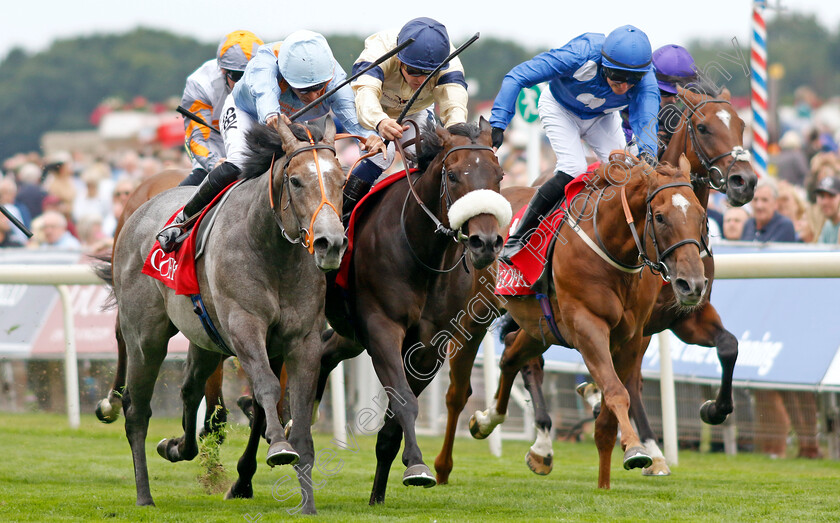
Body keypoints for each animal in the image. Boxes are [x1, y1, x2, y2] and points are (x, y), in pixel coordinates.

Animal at [97, 118, 344, 516]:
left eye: (343, 179)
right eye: (295, 181)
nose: (330, 243)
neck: (272, 251)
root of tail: (139, 209)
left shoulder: (303, 340)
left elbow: (299, 405)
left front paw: (307, 502)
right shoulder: (244, 326)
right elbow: (267, 387)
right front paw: (279, 448)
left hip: (205, 338)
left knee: (190, 388)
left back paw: (177, 446)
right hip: (146, 337)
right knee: (137, 410)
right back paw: (144, 494)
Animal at [470, 156, 712, 492]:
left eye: (702, 216)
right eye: (660, 217)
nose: (692, 285)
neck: (612, 248)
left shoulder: (632, 337)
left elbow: (612, 407)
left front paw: (608, 478)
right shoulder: (587, 326)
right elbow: (617, 391)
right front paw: (636, 449)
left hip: (539, 326)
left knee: (510, 358)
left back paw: (490, 422)